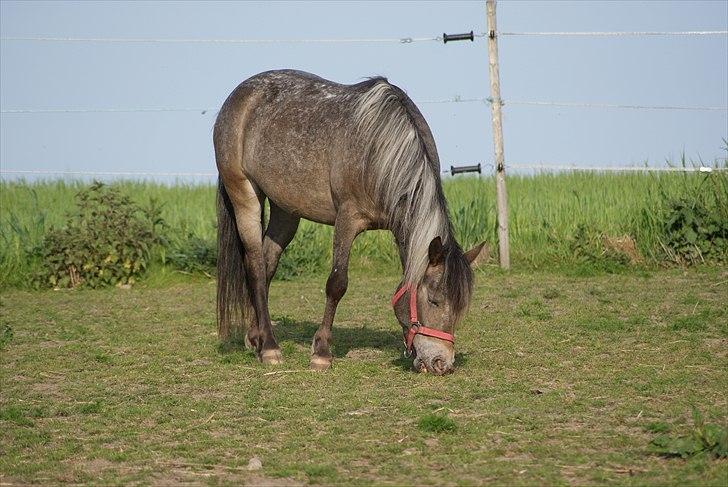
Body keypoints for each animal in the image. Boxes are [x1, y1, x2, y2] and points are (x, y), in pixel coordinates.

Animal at [213, 68, 484, 376]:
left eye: (460, 307)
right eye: (434, 300)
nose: (442, 363)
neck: (380, 151)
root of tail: (239, 95)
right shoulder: (347, 219)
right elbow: (337, 283)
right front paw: (321, 352)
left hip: (286, 209)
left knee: (268, 264)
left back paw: (256, 336)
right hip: (244, 195)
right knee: (256, 267)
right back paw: (270, 347)